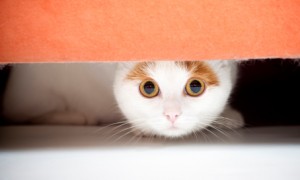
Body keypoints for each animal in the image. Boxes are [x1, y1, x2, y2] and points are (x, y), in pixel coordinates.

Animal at [1, 60, 244, 138]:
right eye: (148, 88)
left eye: (195, 86)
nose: (172, 114)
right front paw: (142, 127)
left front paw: (227, 116)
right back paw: (77, 117)